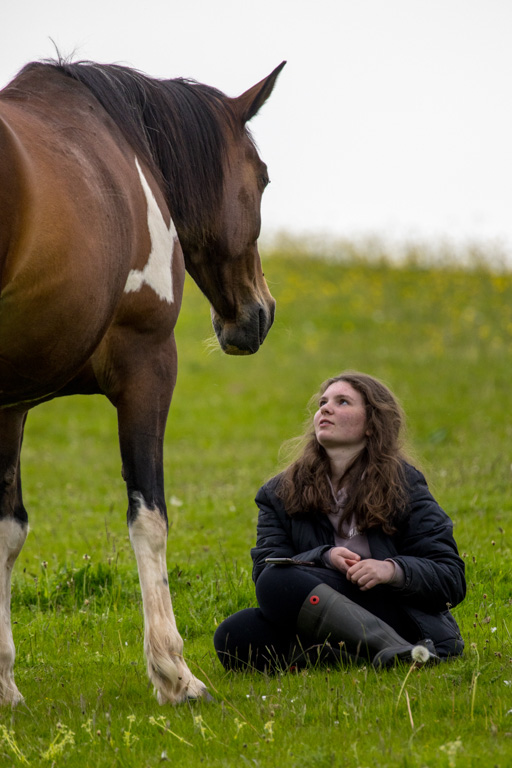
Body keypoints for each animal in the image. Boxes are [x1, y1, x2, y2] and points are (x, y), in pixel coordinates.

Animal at [0, 57, 285, 706]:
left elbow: (7, 531)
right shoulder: (148, 364)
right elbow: (148, 519)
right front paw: (175, 672)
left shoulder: (11, 401)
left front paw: (3, 682)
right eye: (262, 180)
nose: (260, 314)